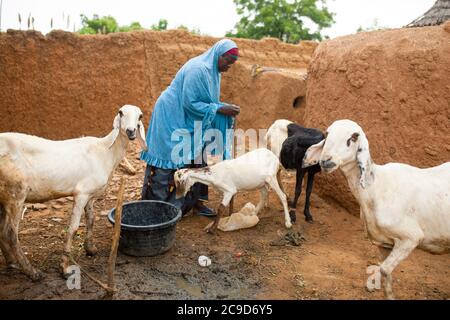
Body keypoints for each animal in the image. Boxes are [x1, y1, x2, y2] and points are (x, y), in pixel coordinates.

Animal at [0, 104, 148, 278]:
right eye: (121, 112)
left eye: (140, 116)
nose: (131, 131)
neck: (105, 151)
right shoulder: (81, 193)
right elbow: (73, 228)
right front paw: (64, 266)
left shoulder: (90, 194)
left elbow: (91, 219)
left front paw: (90, 249)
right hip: (16, 193)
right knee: (10, 233)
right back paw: (31, 271)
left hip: (4, 196)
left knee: (2, 230)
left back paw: (11, 262)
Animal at [302, 119, 450, 298]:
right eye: (327, 133)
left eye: (354, 137)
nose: (326, 161)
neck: (376, 188)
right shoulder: (384, 243)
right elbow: (386, 272)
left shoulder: (411, 238)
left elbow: (384, 269)